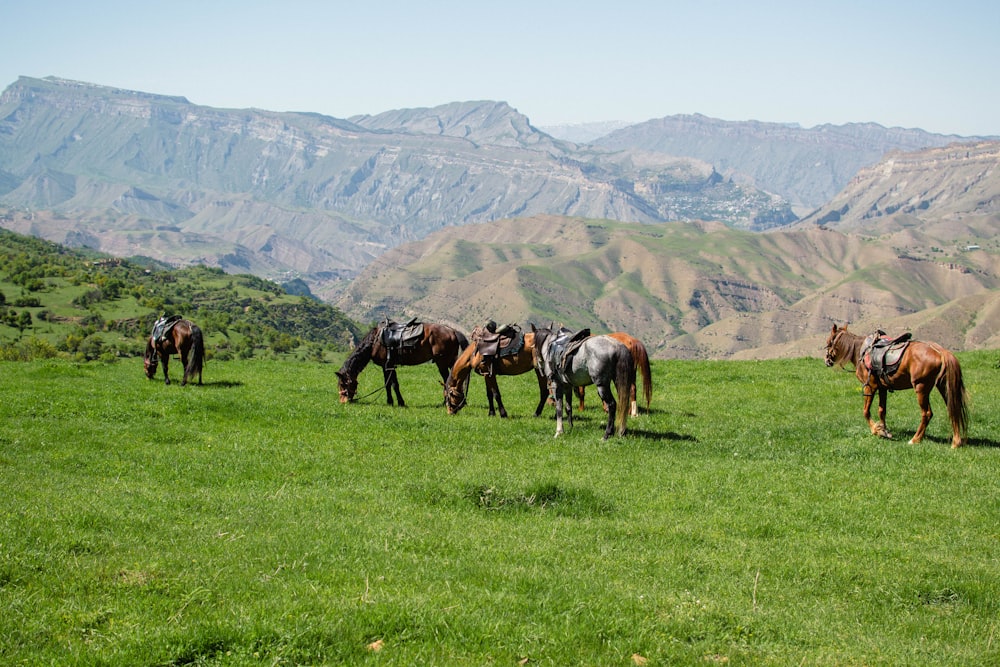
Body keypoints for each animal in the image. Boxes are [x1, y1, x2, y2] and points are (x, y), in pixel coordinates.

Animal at [336, 320, 468, 408]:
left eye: (342, 384)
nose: (343, 401)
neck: (375, 342)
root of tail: (452, 331)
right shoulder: (387, 366)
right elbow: (389, 384)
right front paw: (391, 402)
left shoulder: (389, 366)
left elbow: (393, 385)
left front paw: (399, 402)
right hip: (451, 362)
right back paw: (460, 401)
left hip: (442, 363)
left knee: (447, 380)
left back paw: (446, 402)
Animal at [820, 324, 968, 448]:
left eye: (828, 341)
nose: (827, 360)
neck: (861, 351)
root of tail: (940, 352)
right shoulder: (882, 388)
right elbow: (882, 410)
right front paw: (885, 430)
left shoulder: (869, 386)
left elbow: (866, 411)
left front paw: (877, 430)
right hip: (944, 387)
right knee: (953, 409)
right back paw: (956, 442)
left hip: (921, 388)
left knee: (927, 413)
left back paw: (915, 439)